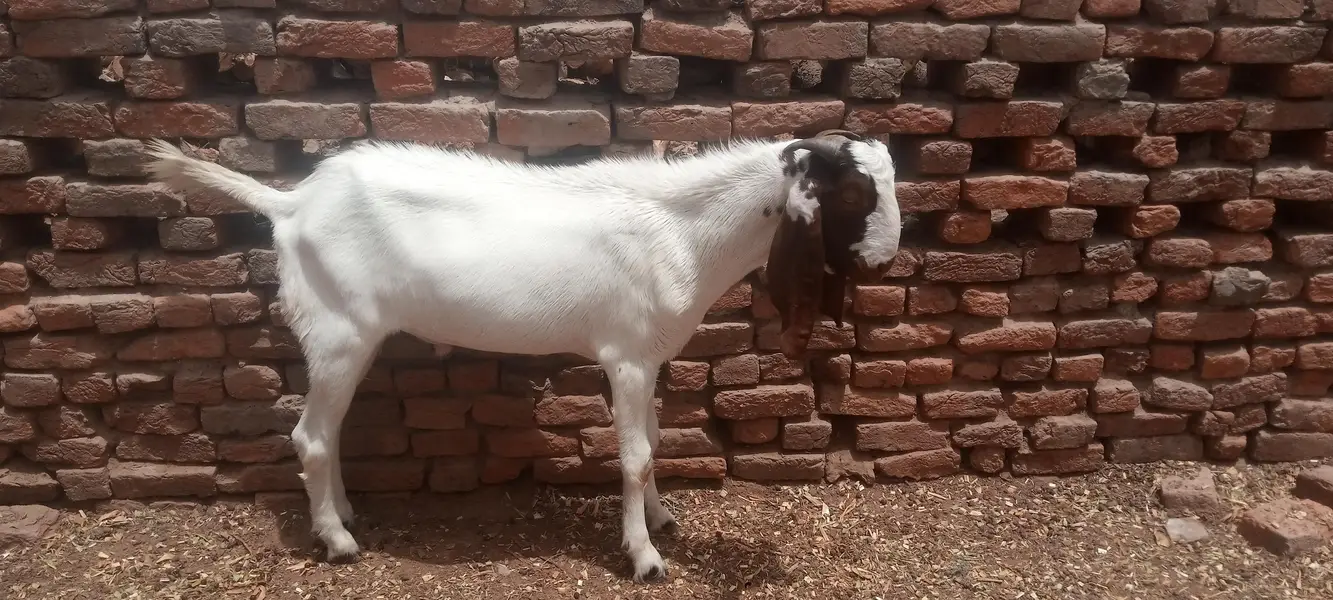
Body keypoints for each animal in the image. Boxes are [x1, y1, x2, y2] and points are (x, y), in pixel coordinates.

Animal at [144, 130, 902, 583]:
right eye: (853, 192)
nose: (885, 259)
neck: (679, 232)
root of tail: (292, 202)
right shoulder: (625, 356)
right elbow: (635, 454)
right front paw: (645, 556)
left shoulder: (651, 354)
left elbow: (655, 441)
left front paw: (660, 519)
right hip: (336, 332)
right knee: (309, 436)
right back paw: (335, 541)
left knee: (326, 436)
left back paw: (346, 516)